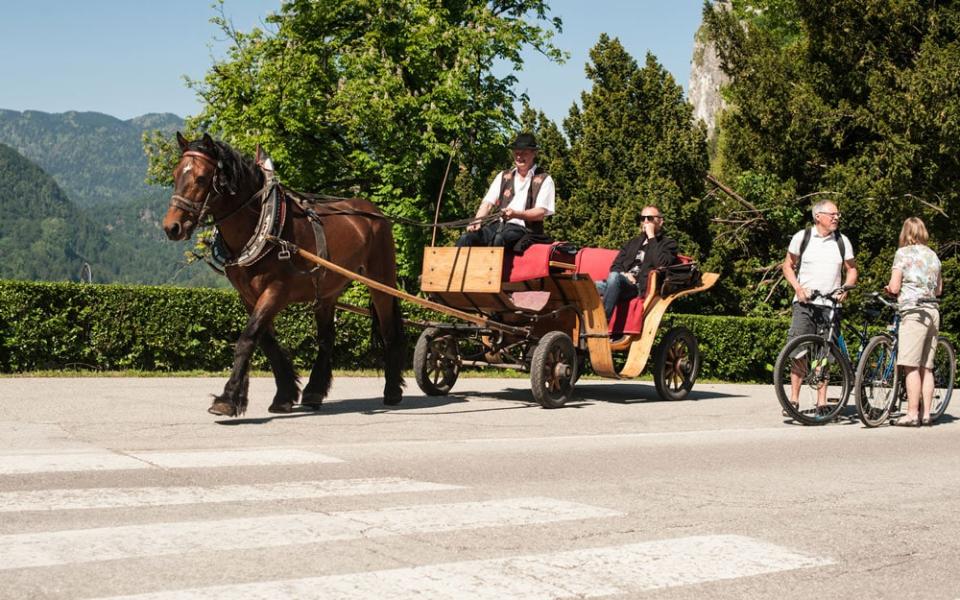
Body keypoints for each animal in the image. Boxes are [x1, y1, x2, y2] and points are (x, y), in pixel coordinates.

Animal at [163, 134, 404, 418]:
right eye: (175, 174)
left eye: (201, 178)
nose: (172, 227)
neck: (263, 226)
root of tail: (373, 212)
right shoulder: (248, 296)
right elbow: (266, 343)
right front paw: (284, 395)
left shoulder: (276, 291)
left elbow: (248, 338)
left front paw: (227, 399)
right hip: (327, 291)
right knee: (326, 339)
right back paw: (314, 391)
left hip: (381, 281)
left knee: (388, 332)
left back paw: (392, 391)